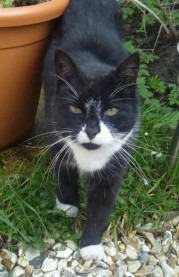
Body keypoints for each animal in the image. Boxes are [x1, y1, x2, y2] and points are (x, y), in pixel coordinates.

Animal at [43, 0, 140, 260]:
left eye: (112, 111)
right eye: (75, 109)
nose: (92, 131)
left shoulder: (116, 161)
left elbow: (102, 202)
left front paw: (91, 246)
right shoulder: (54, 127)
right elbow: (63, 169)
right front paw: (67, 206)